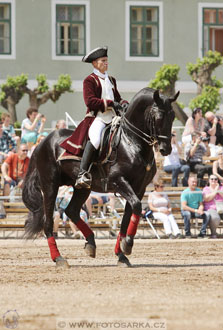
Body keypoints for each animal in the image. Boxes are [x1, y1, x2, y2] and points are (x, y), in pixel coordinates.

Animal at [22, 88, 179, 268]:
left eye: (173, 116)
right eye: (159, 117)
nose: (166, 149)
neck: (132, 142)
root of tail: (43, 142)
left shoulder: (138, 188)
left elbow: (128, 217)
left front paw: (121, 254)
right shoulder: (119, 181)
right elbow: (137, 207)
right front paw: (128, 244)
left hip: (82, 188)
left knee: (71, 211)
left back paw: (90, 243)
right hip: (50, 186)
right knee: (48, 223)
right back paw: (59, 258)